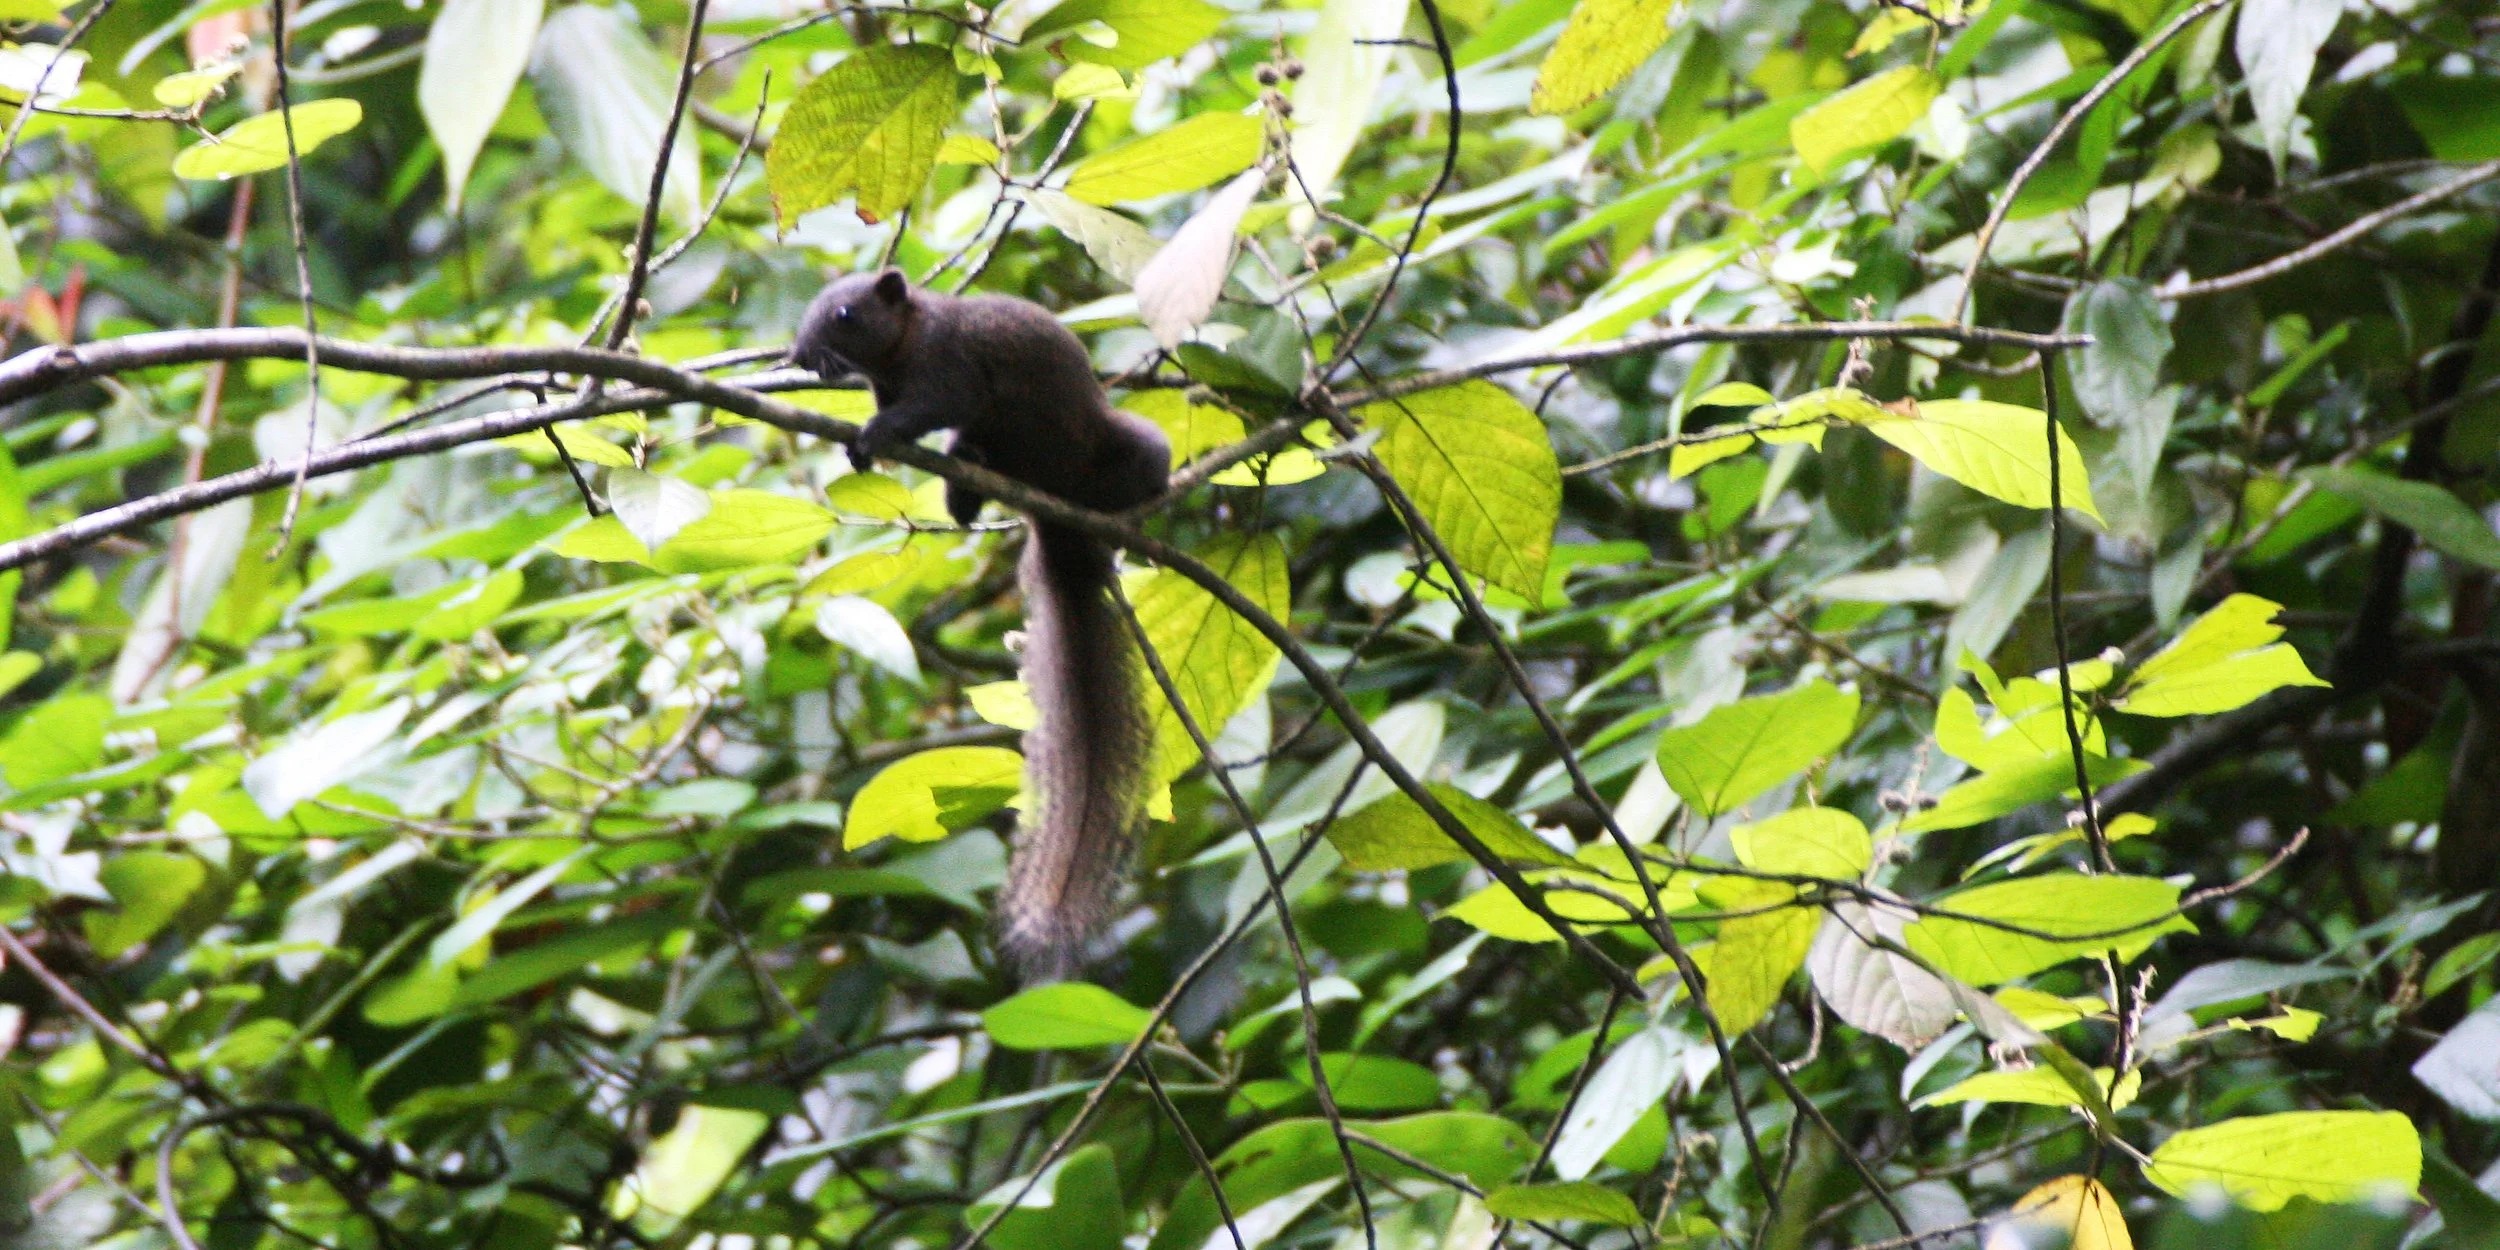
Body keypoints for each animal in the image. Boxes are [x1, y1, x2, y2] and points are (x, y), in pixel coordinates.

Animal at [793, 269, 1172, 979]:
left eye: (845, 313)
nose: (798, 356)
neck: (903, 343)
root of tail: (1061, 530)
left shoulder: (949, 369)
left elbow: (931, 406)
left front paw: (873, 435)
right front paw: (865, 451)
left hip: (1123, 450)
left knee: (1140, 472)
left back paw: (1136, 517)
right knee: (968, 457)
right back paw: (966, 500)